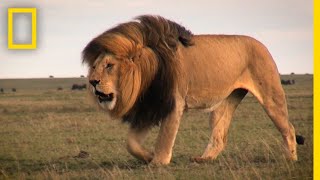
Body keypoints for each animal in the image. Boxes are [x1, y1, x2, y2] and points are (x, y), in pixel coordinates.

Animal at [82, 15, 302, 165]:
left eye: (109, 66)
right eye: (95, 66)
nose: (92, 81)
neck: (146, 77)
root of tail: (262, 44)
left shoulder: (173, 103)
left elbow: (164, 138)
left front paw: (158, 162)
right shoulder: (150, 106)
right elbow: (131, 143)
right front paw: (148, 156)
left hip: (271, 96)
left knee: (288, 128)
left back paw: (290, 158)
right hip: (224, 103)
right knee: (219, 137)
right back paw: (203, 159)